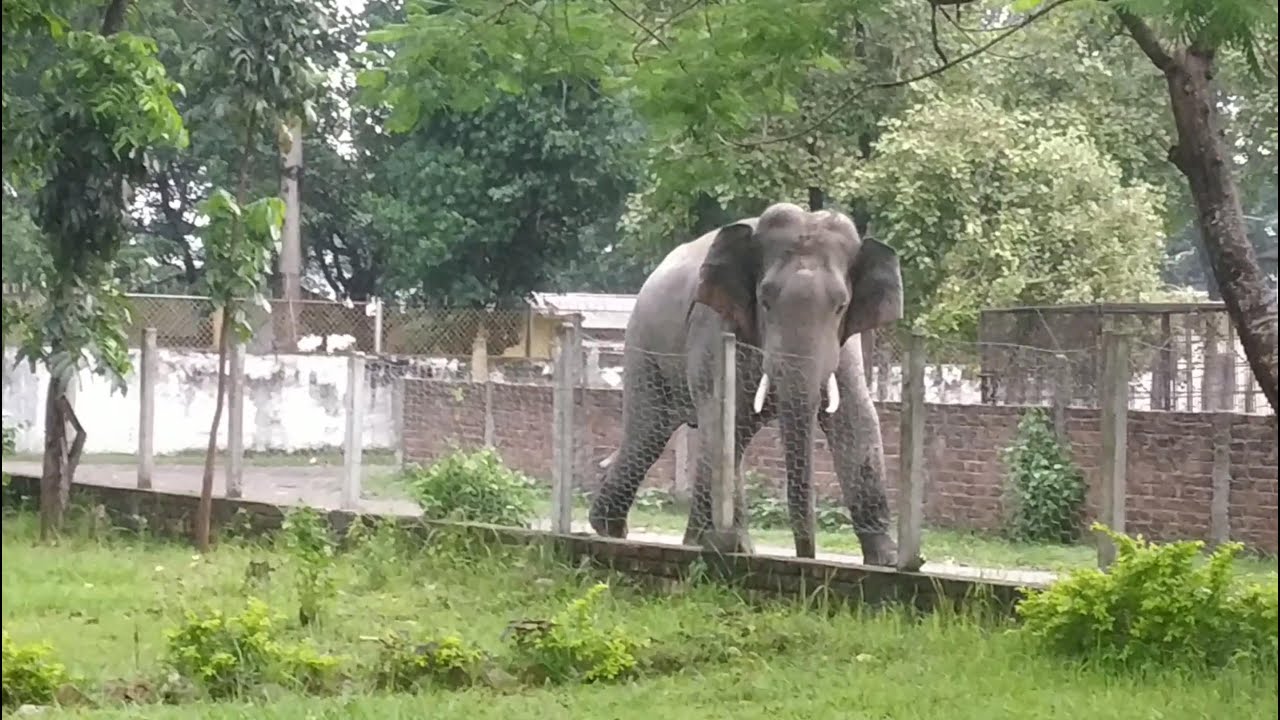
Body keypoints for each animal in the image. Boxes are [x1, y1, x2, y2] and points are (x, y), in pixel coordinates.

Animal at [587, 202, 904, 565]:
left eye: (841, 306)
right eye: (764, 300)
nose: (806, 558)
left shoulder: (844, 347)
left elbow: (856, 422)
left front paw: (887, 561)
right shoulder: (716, 328)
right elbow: (723, 418)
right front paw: (718, 548)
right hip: (643, 348)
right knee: (650, 433)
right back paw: (613, 530)